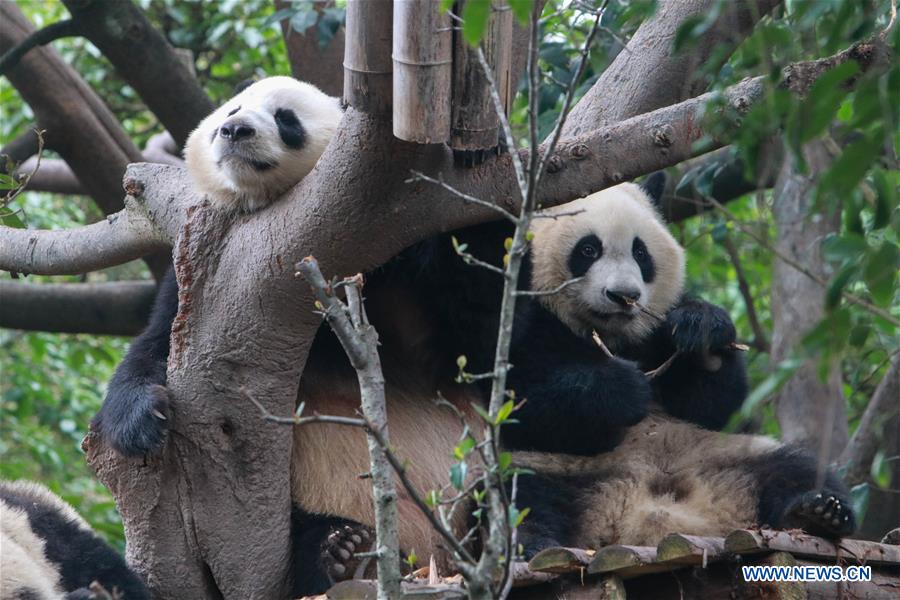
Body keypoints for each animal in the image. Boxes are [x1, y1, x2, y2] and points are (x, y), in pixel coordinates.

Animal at [93, 78, 856, 596]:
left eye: (284, 118)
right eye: (229, 111)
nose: (235, 132)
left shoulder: (412, 271)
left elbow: (485, 334)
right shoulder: (218, 283)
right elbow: (153, 352)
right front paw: (143, 420)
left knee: (783, 464)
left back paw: (815, 508)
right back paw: (338, 551)